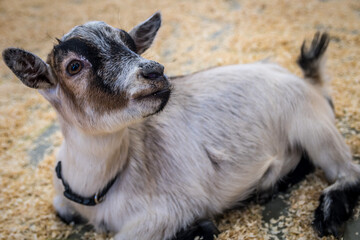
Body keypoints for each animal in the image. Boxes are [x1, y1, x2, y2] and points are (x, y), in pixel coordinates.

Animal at [2, 12, 360, 240]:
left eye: (131, 44)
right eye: (73, 66)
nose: (155, 70)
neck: (94, 191)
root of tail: (310, 83)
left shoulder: (169, 209)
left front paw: (198, 230)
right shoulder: (61, 199)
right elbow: (59, 208)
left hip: (313, 126)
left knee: (348, 171)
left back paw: (327, 213)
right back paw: (272, 183)